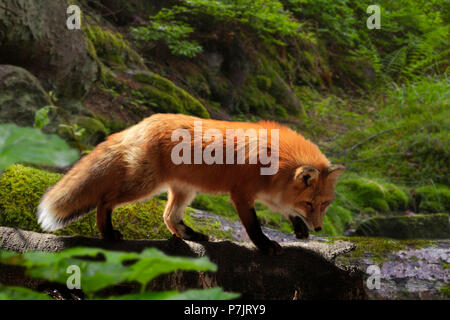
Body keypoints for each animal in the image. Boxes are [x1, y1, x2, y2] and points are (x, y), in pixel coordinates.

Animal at [37, 114, 344, 254]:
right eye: (310, 203)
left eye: (324, 205)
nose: (319, 228)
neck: (277, 160)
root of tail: (142, 123)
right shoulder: (241, 194)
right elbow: (254, 226)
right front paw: (265, 245)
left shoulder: (271, 194)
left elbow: (286, 211)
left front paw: (300, 229)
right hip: (144, 186)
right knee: (105, 200)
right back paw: (107, 232)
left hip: (185, 191)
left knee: (168, 217)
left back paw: (192, 235)